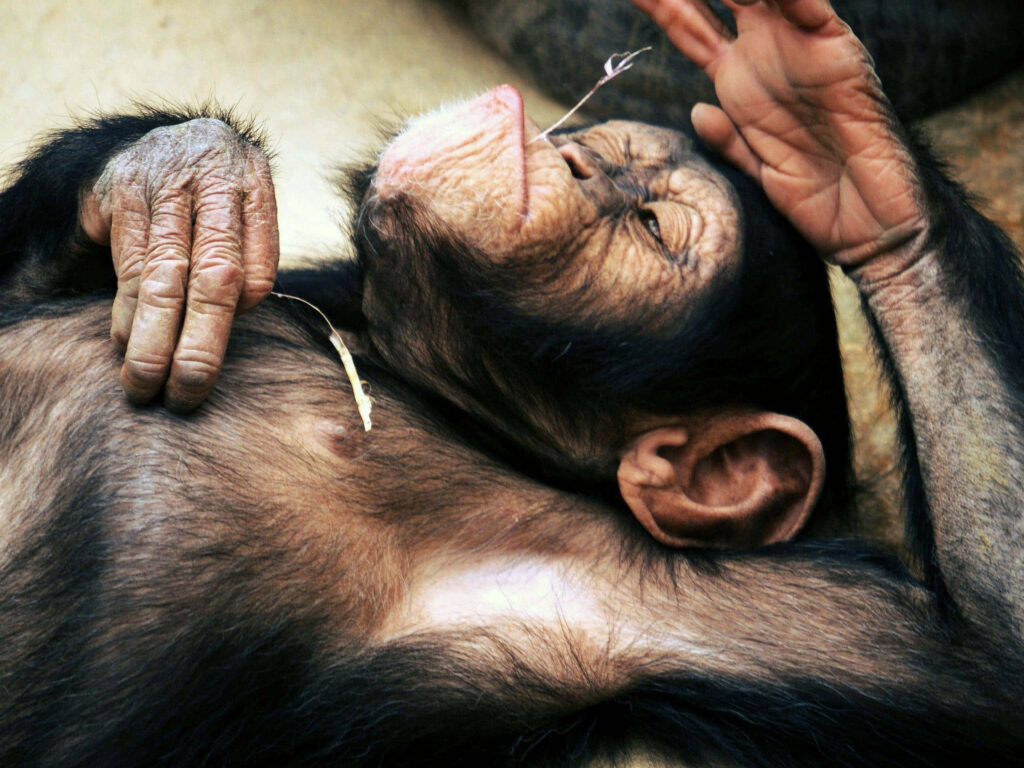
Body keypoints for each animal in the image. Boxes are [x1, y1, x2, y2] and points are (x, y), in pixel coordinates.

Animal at [3, 0, 1024, 765]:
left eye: (651, 225)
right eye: (616, 147)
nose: (576, 155)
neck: (415, 387)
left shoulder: (639, 593)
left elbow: (968, 660)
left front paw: (862, 171)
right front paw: (186, 180)